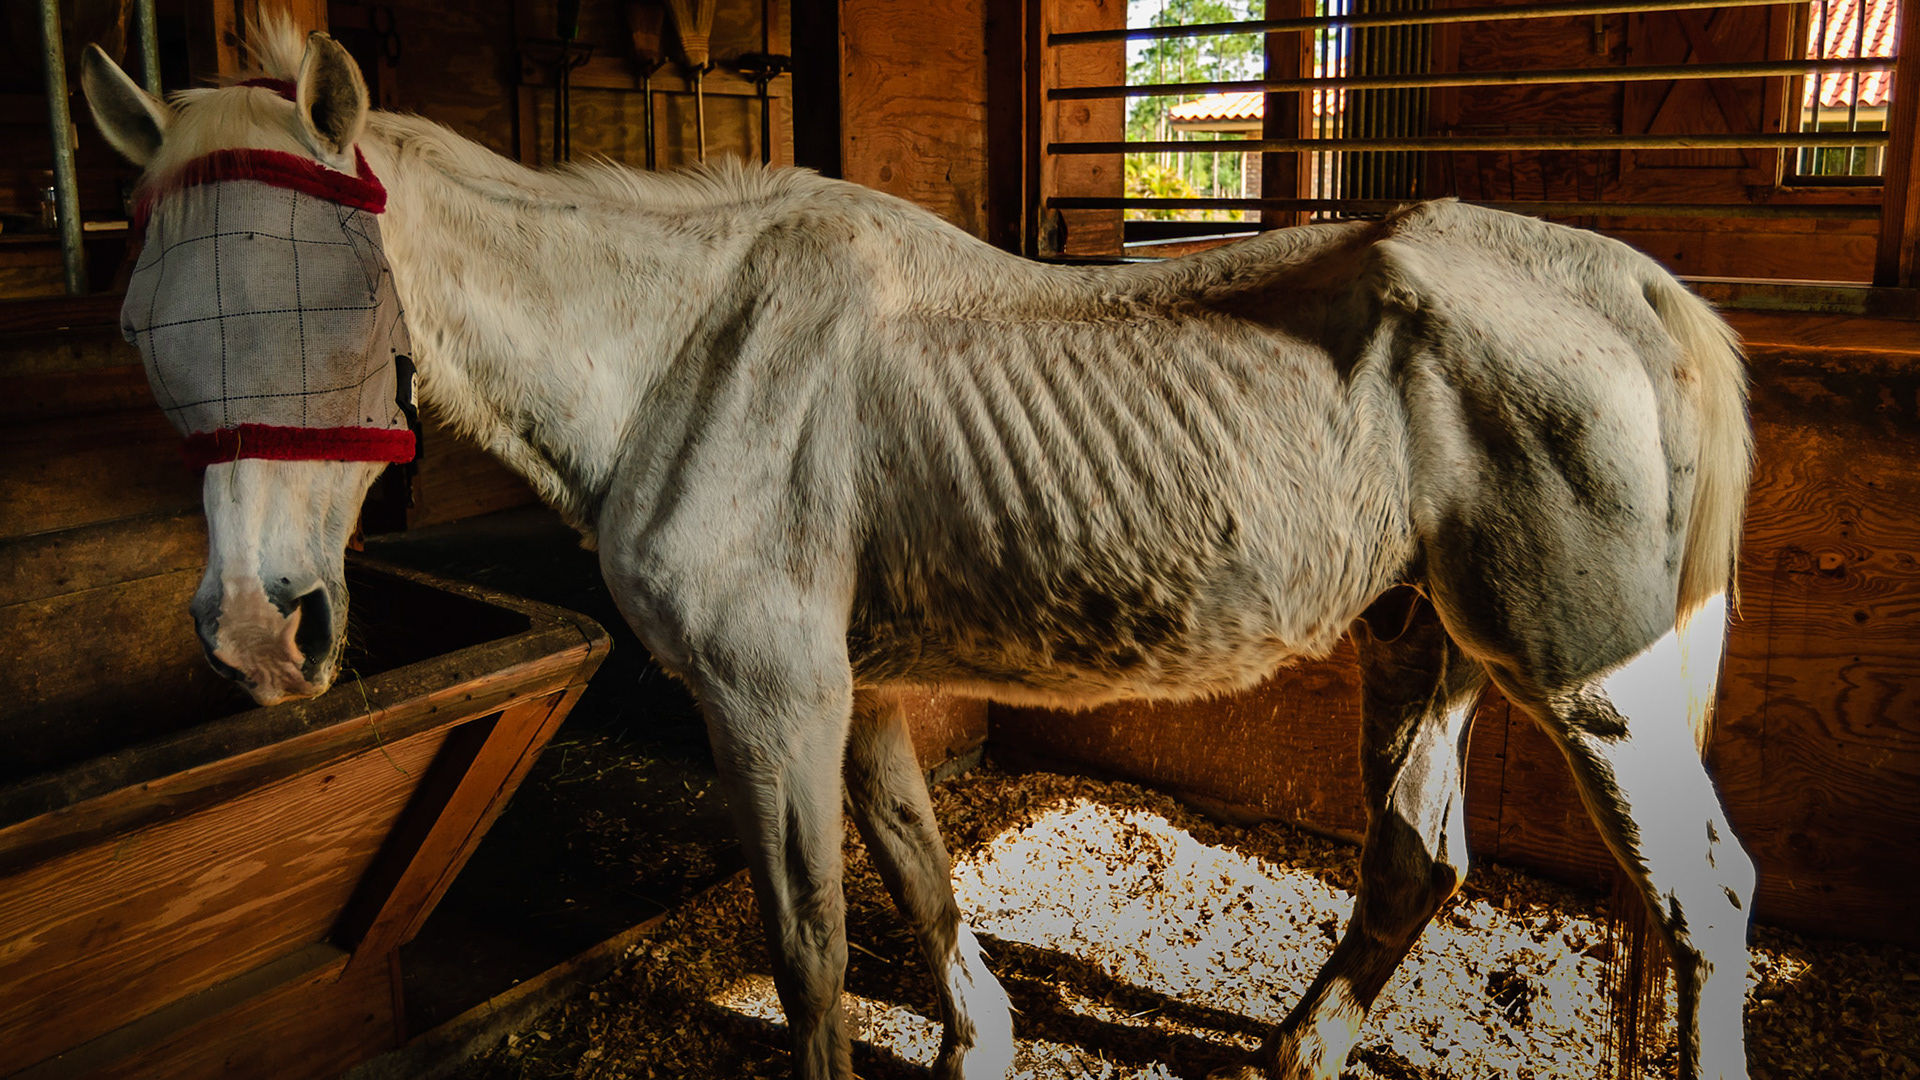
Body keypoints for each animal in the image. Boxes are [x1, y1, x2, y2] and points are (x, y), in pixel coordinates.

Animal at [81, 20, 1756, 1080]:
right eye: (140, 320)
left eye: (335, 300)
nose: (257, 635)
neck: (686, 350)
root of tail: (1634, 293)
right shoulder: (855, 692)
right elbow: (914, 867)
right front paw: (976, 1036)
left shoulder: (767, 703)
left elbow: (810, 946)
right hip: (1429, 644)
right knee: (1419, 864)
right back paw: (1299, 1051)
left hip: (1594, 684)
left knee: (1704, 906)